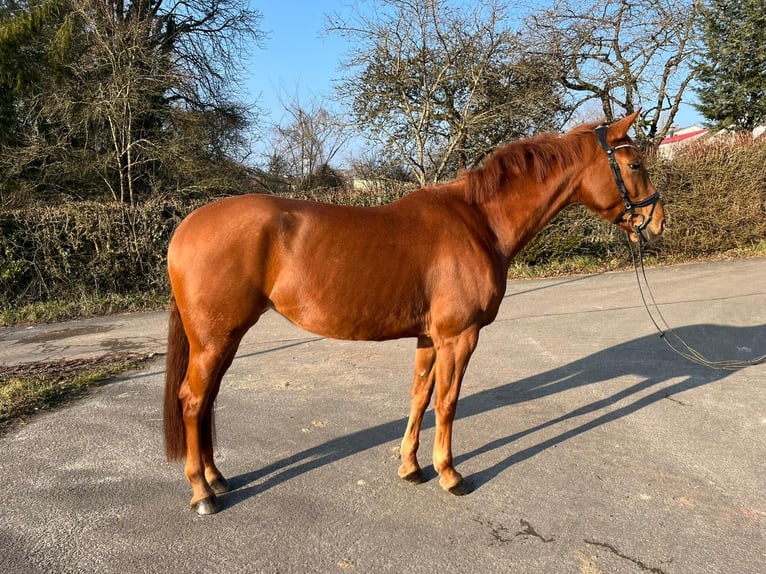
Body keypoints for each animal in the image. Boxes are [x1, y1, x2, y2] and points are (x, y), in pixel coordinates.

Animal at [164, 110, 664, 516]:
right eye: (634, 164)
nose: (658, 222)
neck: (478, 222)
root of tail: (186, 227)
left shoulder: (429, 338)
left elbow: (420, 397)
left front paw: (411, 466)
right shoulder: (459, 337)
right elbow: (447, 402)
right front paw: (450, 474)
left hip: (223, 340)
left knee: (206, 401)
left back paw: (216, 479)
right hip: (215, 339)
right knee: (192, 400)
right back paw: (202, 493)